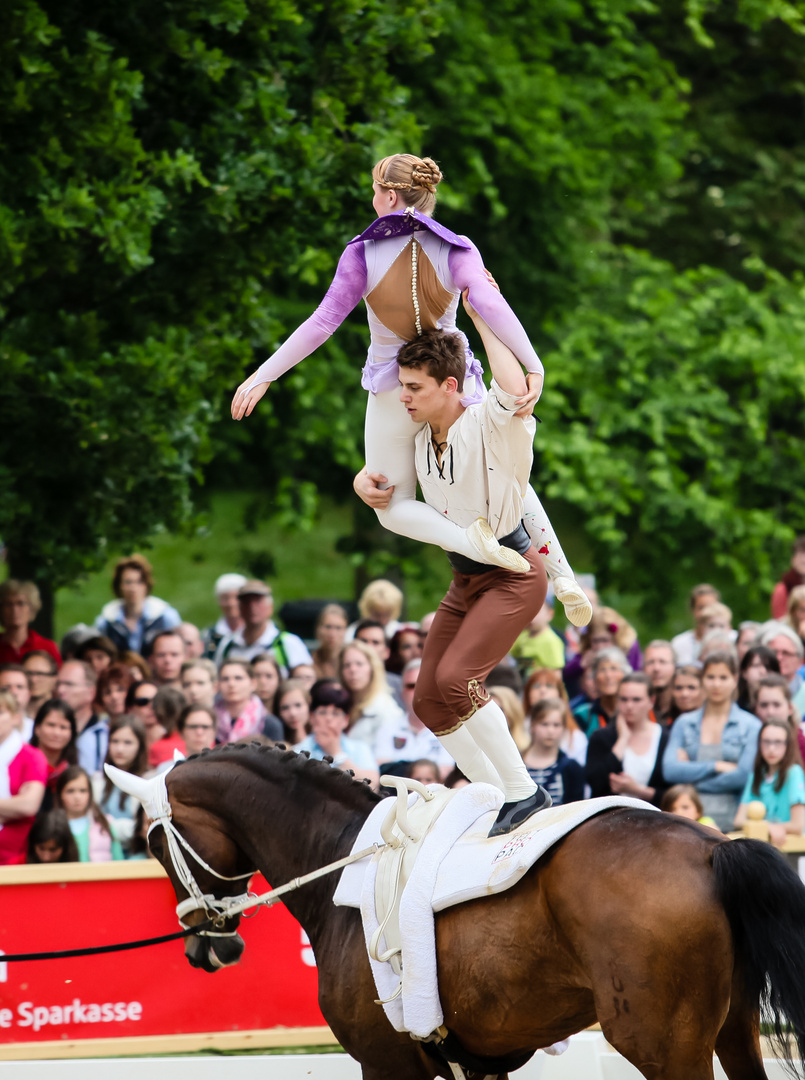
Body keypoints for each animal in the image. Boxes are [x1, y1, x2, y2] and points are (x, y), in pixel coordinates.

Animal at [114, 743, 803, 1080]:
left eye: (152, 844)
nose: (205, 946)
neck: (341, 856)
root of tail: (713, 846)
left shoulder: (388, 1065)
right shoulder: (479, 1065)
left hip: (665, 1047)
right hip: (733, 1033)